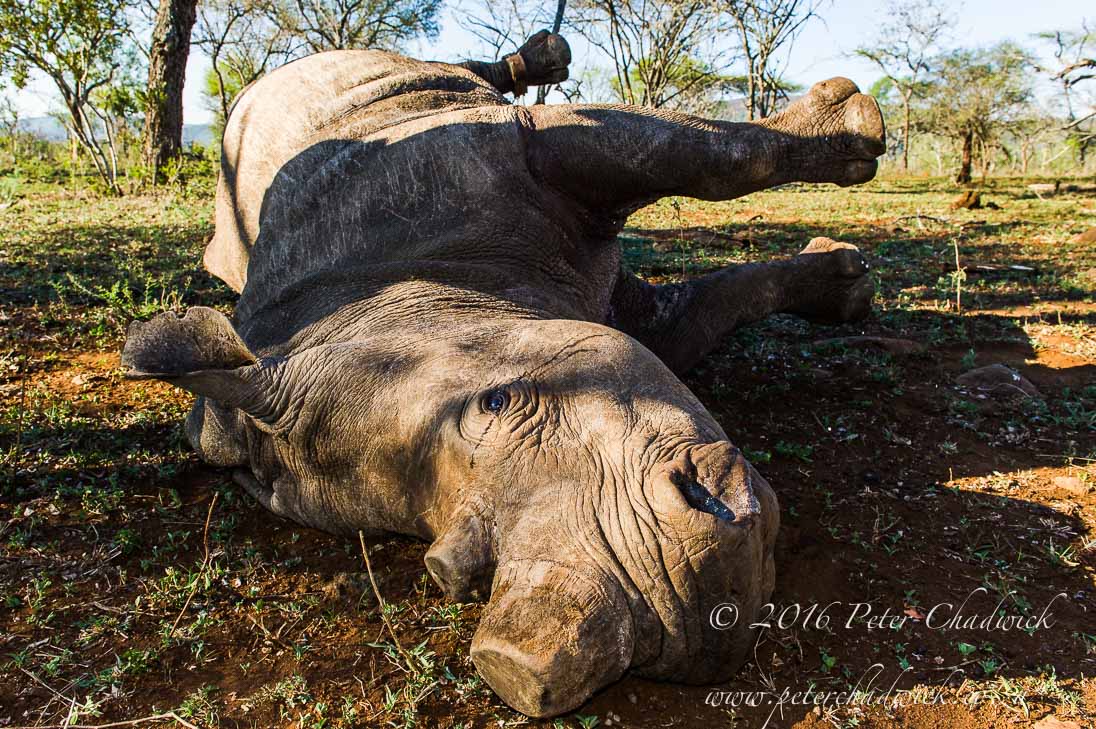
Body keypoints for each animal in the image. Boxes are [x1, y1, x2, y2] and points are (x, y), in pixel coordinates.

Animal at [122, 31, 884, 717]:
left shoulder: (509, 152)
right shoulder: (625, 312)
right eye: (450, 573)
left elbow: (706, 160)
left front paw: (851, 128)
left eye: (498, 400)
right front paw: (842, 279)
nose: (676, 602)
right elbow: (707, 303)